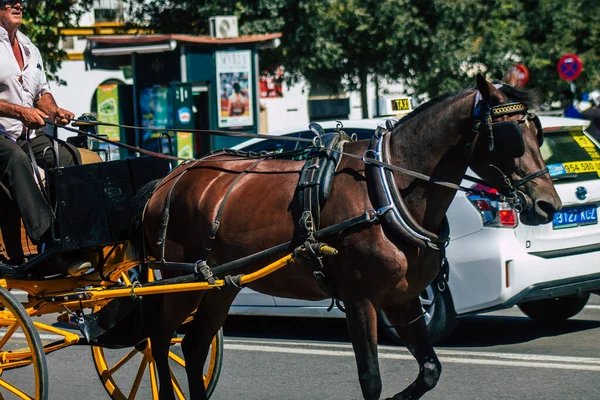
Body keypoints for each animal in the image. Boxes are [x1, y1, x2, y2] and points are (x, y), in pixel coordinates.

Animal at [141, 76, 564, 400]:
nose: (549, 204)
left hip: (220, 287)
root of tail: (168, 179)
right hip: (182, 282)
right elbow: (371, 380)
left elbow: (430, 368)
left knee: (194, 347)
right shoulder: (360, 301)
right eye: (511, 134)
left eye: (538, 131)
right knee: (158, 339)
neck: (387, 189)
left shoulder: (403, 299)